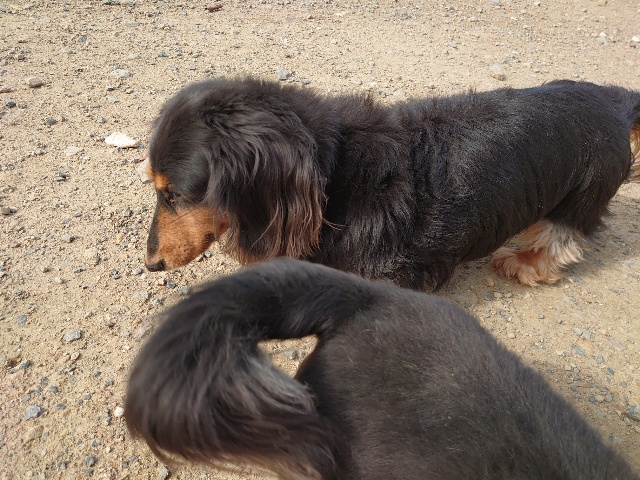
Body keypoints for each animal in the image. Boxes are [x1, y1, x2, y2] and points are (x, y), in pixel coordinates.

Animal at [143, 78, 640, 289]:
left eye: (174, 194)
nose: (151, 265)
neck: (333, 175)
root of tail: (613, 101)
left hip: (582, 194)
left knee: (563, 238)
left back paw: (522, 262)